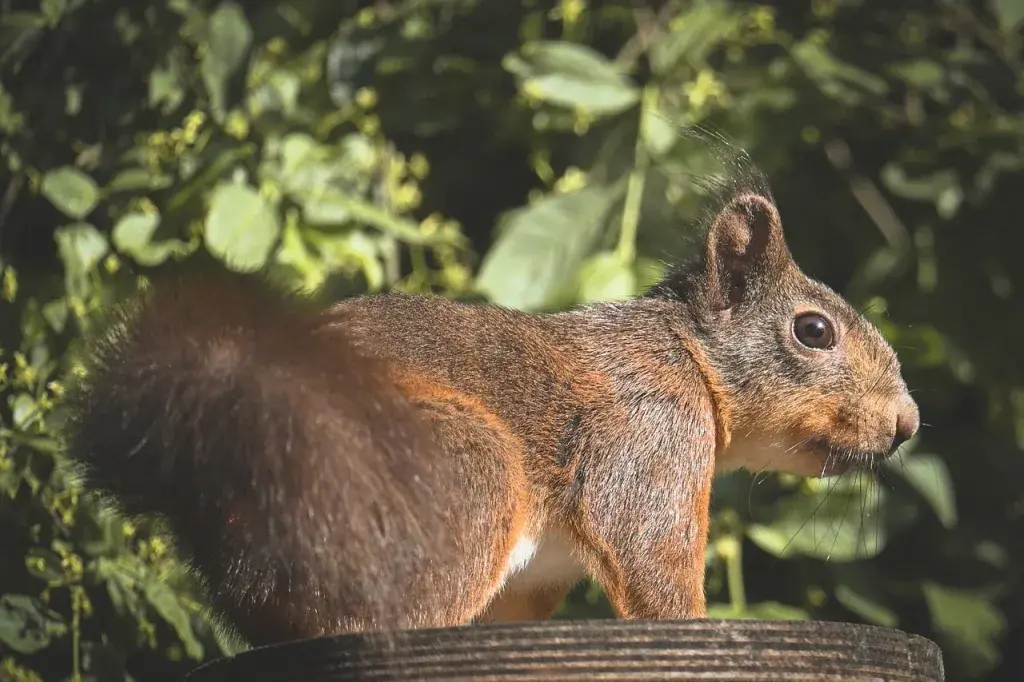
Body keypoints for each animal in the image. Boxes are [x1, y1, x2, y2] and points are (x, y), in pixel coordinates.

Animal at [63, 170, 920, 648]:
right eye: (814, 331)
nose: (907, 423)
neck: (688, 357)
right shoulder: (648, 438)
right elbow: (653, 563)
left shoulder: (535, 581)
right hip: (455, 479)